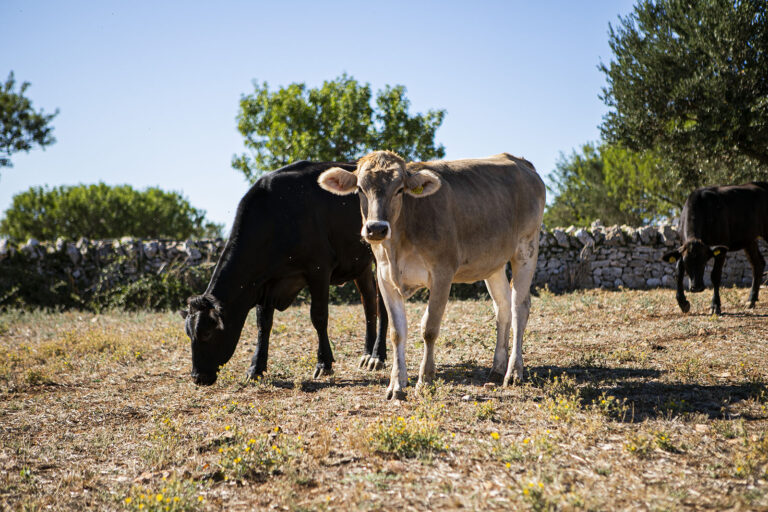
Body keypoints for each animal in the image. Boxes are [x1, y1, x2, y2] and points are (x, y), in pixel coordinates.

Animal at [182, 160, 388, 384]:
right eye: (189, 334)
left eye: (207, 333)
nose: (197, 376)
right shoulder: (265, 282)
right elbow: (263, 324)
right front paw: (256, 368)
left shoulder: (319, 268)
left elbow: (319, 316)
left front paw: (323, 364)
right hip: (360, 265)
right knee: (369, 302)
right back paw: (367, 354)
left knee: (382, 303)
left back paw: (378, 356)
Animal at [318, 151, 544, 400]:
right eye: (359, 189)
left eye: (399, 189)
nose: (376, 228)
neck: (398, 245)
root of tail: (518, 160)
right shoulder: (385, 278)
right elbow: (397, 332)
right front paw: (396, 385)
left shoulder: (442, 273)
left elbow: (429, 329)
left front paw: (425, 380)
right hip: (492, 262)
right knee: (502, 307)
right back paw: (497, 368)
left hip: (526, 248)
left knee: (519, 307)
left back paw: (513, 372)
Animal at [660, 182, 768, 314]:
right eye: (686, 263)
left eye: (703, 261)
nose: (696, 287)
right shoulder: (681, 246)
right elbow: (678, 272)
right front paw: (682, 302)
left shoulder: (721, 248)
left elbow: (715, 275)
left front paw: (715, 305)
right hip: (749, 239)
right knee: (758, 264)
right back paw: (751, 300)